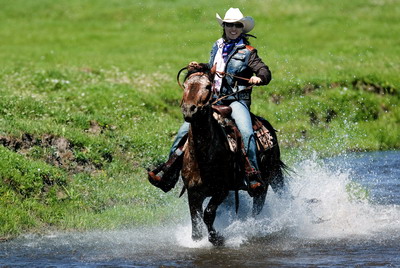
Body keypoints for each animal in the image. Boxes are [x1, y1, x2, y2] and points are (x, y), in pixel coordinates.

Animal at [178, 63, 284, 247]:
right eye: (185, 85)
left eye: (208, 86)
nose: (189, 110)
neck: (203, 157)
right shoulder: (193, 192)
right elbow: (196, 223)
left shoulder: (222, 190)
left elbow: (208, 214)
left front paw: (217, 238)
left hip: (272, 176)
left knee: (262, 203)